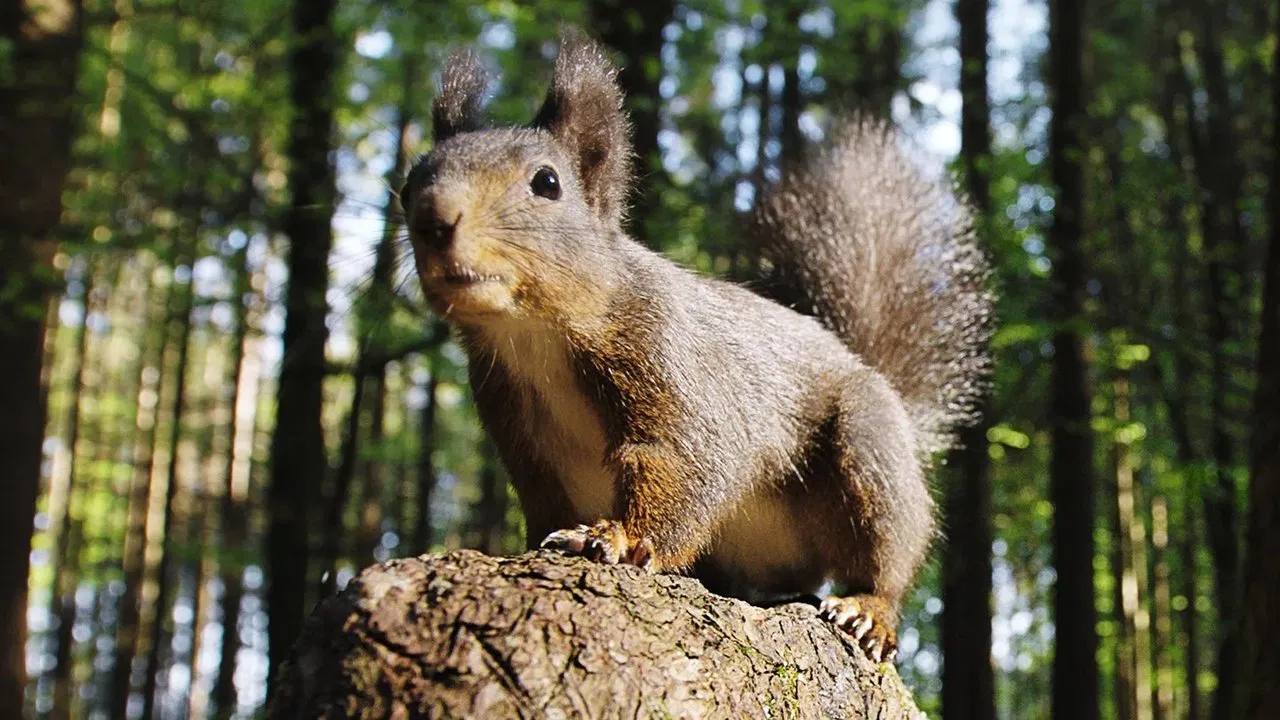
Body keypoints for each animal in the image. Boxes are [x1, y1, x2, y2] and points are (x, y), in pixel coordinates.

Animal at [401, 33, 993, 663]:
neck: (535, 337)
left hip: (869, 445)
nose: (433, 218)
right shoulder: (516, 430)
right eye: (409, 184)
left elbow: (683, 463)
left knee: (887, 549)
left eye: (547, 183)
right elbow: (545, 499)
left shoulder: (670, 362)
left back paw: (868, 611)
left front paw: (619, 538)